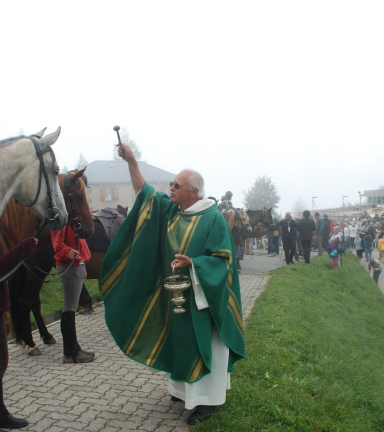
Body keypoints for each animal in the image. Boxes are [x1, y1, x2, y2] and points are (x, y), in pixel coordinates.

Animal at [1, 170, 94, 356]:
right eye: (80, 196)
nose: (90, 230)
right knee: (26, 302)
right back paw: (31, 341)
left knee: (34, 303)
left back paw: (45, 335)